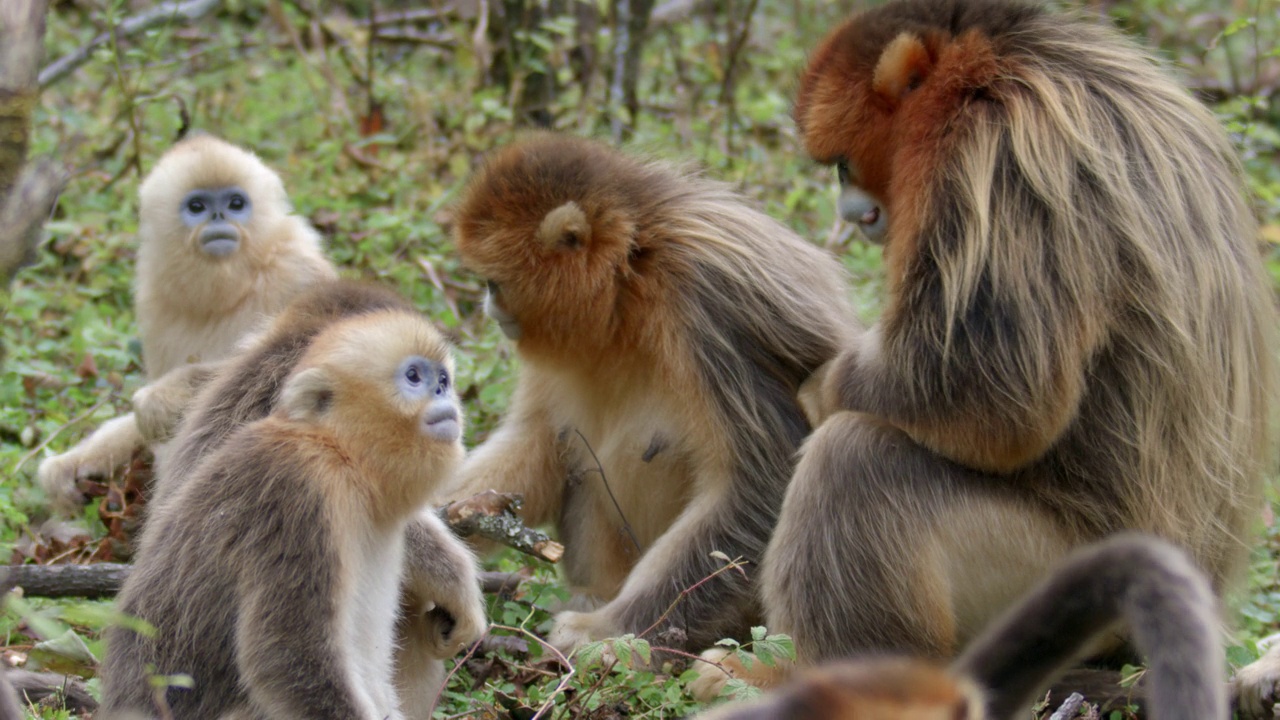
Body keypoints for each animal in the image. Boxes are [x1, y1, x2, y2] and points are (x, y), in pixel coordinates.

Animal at [37, 134, 335, 512]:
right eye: (197, 207)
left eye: (236, 203)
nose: (219, 216)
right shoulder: (152, 302)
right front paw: (68, 468)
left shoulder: (297, 271)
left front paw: (155, 402)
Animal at [99, 304, 468, 712]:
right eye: (414, 376)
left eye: (443, 380)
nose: (442, 391)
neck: (338, 456)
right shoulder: (299, 495)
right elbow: (285, 658)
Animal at [445, 133, 855, 650]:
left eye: (494, 282)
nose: (488, 306)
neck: (633, 274)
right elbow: (539, 441)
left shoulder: (712, 299)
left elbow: (762, 483)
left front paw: (607, 635)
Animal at [706, 0, 1274, 691]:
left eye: (842, 164)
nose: (851, 214)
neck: (1000, 63)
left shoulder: (993, 152)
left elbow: (991, 397)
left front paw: (821, 388)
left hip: (1052, 567)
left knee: (857, 460)